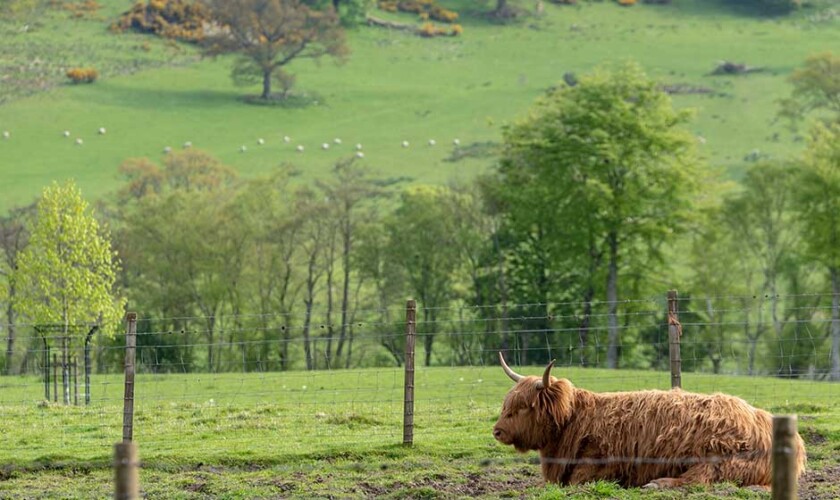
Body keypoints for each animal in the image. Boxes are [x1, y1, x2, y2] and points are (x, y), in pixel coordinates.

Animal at [492, 353, 806, 489]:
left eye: (524, 407)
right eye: (507, 404)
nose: (497, 431)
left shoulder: (604, 462)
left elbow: (577, 480)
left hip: (716, 458)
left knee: (698, 480)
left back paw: (656, 484)